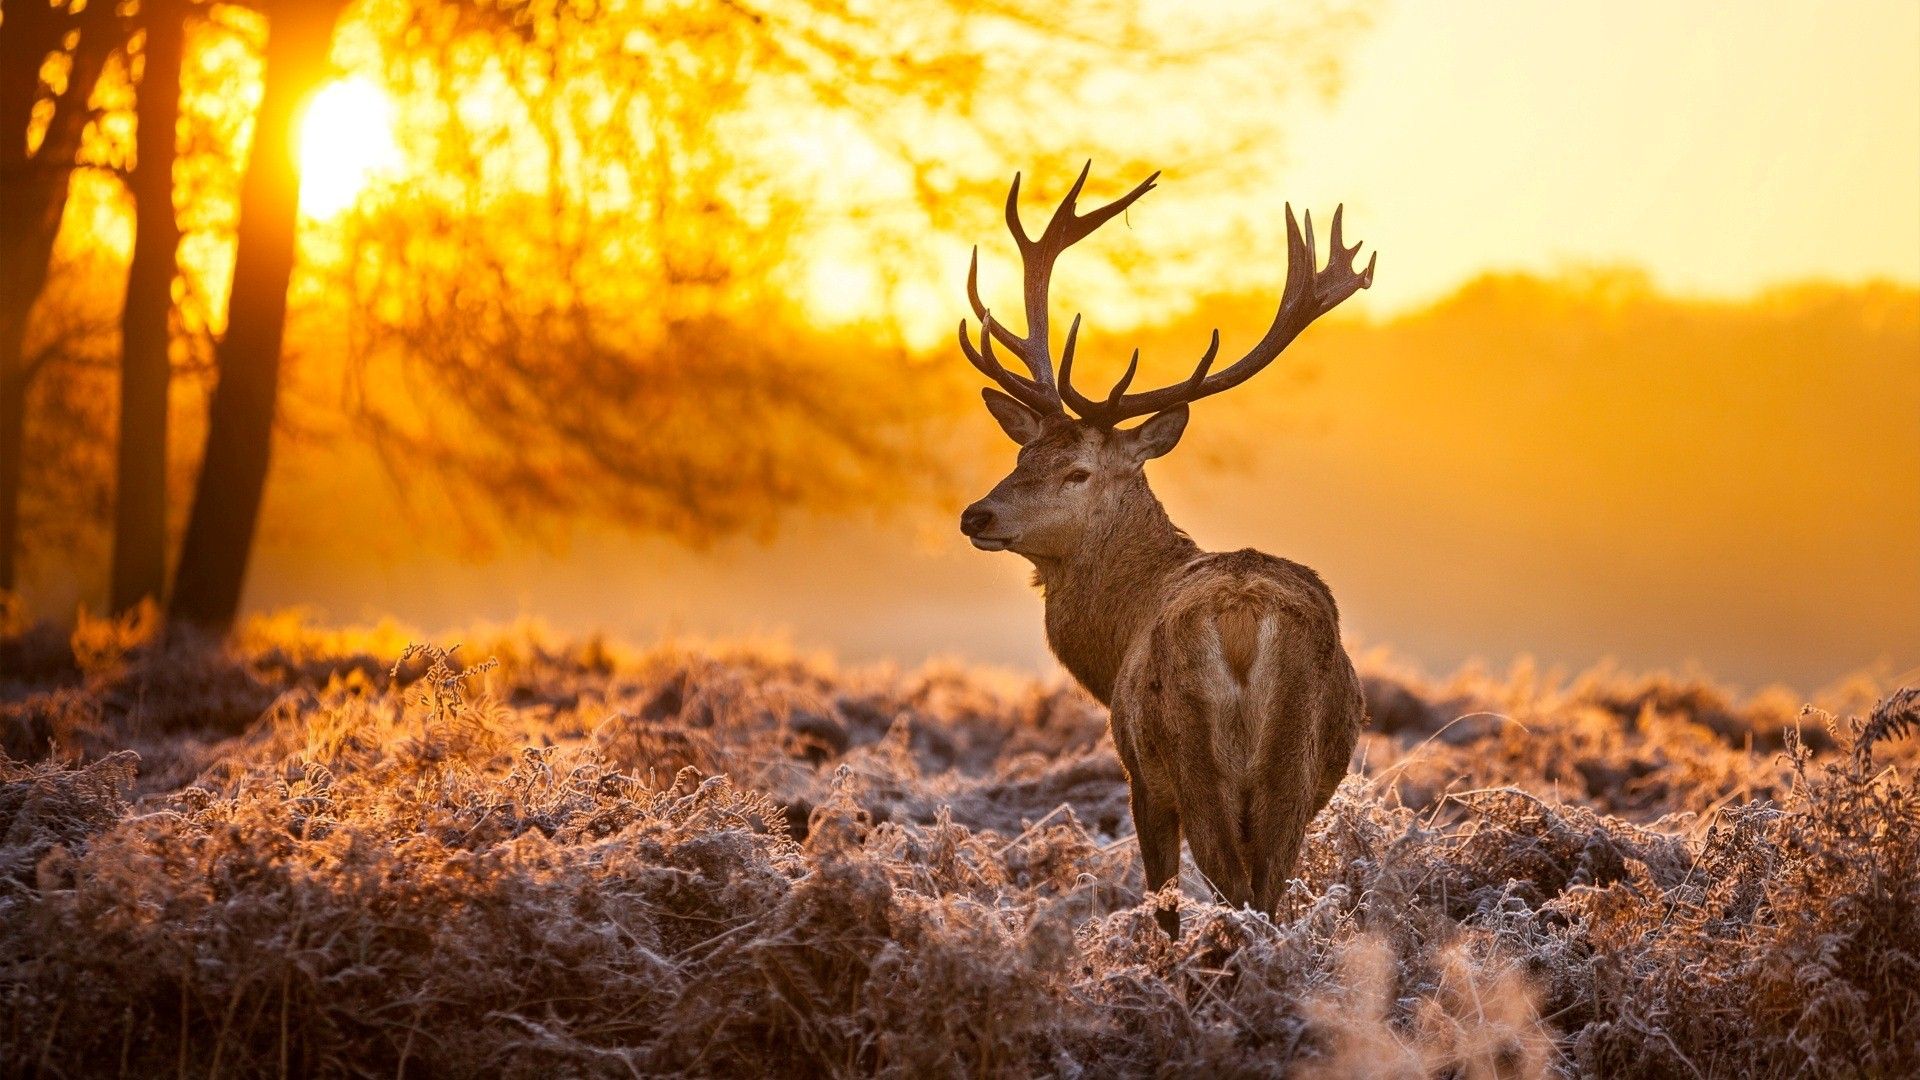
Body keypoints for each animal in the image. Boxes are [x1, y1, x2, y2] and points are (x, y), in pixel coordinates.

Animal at [956, 164, 1374, 936]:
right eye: (1022, 453)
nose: (977, 514)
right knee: (1268, 891)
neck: (1113, 637)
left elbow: (1163, 903)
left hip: (1191, 756)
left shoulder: (1139, 775)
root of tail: (1243, 623)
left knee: (1235, 889)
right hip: (1292, 772)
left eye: (1076, 471)